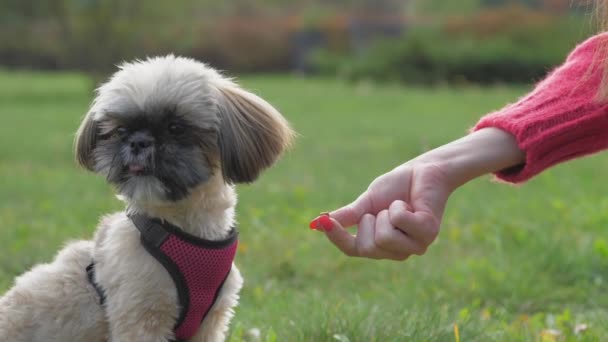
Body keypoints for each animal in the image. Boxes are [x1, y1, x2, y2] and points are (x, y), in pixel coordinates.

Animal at [0, 56, 294, 342]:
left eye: (175, 127)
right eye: (121, 131)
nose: (138, 142)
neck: (183, 229)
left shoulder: (209, 323)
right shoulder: (142, 316)